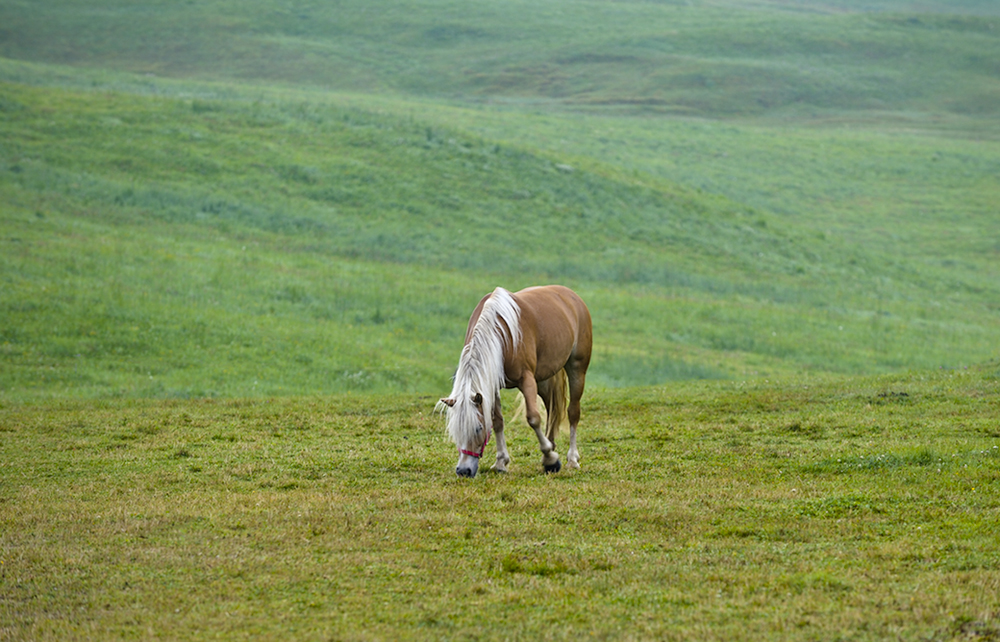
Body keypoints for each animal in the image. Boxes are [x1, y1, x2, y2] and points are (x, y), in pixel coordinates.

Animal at [438, 284, 592, 476]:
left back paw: (572, 459)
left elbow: (533, 418)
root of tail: (572, 297)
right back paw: (552, 446)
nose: (463, 470)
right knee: (552, 409)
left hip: (576, 369)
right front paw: (501, 462)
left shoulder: (526, 379)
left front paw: (550, 459)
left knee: (573, 412)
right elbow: (497, 421)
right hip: (543, 379)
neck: (501, 336)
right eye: (456, 430)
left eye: (478, 428)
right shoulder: (492, 385)